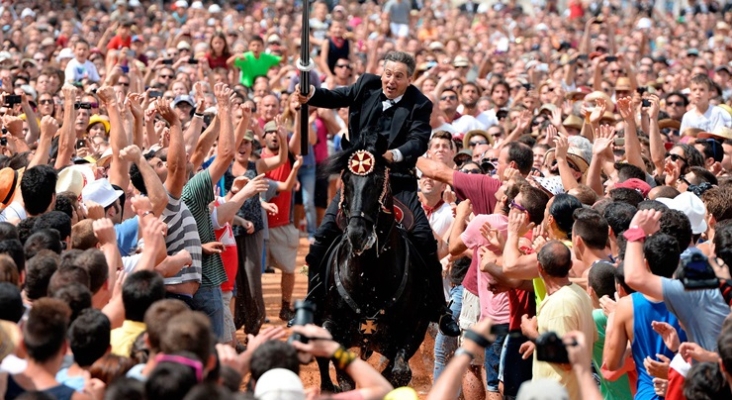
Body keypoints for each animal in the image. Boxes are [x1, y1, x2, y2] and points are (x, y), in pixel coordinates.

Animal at [314, 136, 428, 392]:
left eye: (377, 180)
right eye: (346, 179)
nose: (358, 234)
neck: (369, 278)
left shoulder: (412, 332)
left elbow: (398, 373)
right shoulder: (333, 325)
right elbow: (342, 371)